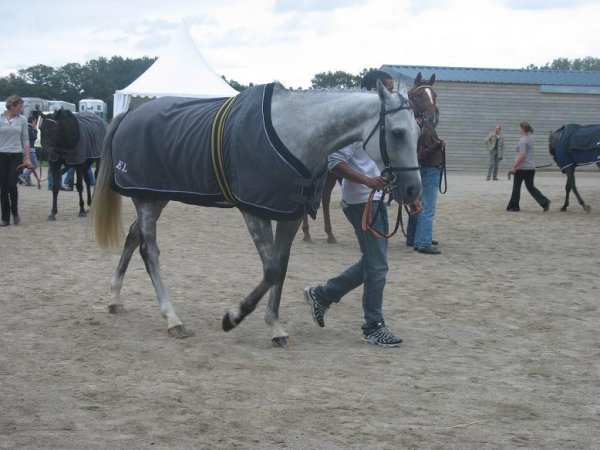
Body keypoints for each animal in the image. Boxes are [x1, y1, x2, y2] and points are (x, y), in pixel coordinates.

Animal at [92, 81, 422, 348]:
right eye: (397, 133)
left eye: (418, 131)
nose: (413, 190)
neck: (294, 133)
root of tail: (128, 116)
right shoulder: (255, 212)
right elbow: (271, 269)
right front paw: (233, 317)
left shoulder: (289, 215)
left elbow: (281, 267)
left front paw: (275, 326)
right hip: (146, 198)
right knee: (149, 250)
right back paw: (172, 318)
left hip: (157, 196)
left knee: (133, 235)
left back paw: (115, 298)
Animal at [298, 72, 436, 244]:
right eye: (419, 96)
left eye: (434, 95)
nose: (432, 118)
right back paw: (307, 233)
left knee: (325, 197)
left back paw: (329, 234)